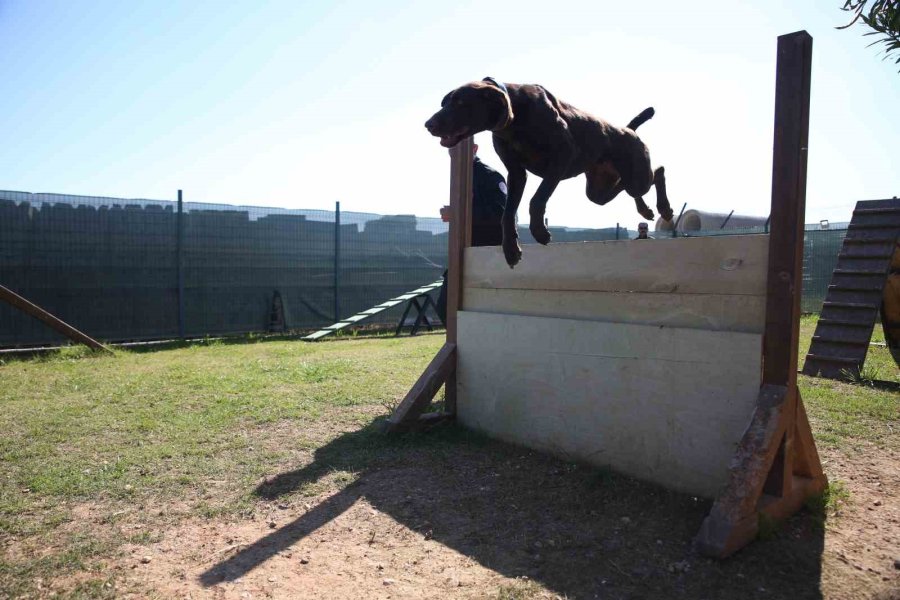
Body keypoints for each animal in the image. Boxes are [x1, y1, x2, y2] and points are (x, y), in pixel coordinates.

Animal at [426, 78, 672, 268]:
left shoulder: (561, 160)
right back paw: (646, 210)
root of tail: (629, 130)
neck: (515, 119)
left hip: (636, 174)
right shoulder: (516, 174)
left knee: (658, 172)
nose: (428, 124)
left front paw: (539, 231)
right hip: (599, 190)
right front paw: (511, 250)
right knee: (627, 190)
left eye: (460, 102)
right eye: (444, 103)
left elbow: (537, 199)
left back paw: (664, 209)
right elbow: (507, 213)